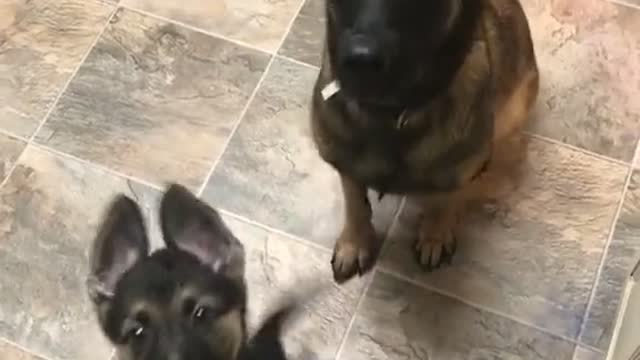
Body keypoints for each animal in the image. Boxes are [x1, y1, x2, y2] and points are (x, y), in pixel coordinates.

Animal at [312, 0, 536, 282]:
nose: (360, 61)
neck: (391, 113)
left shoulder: (458, 170)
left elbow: (445, 201)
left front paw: (435, 234)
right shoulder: (344, 162)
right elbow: (355, 202)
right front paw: (354, 242)